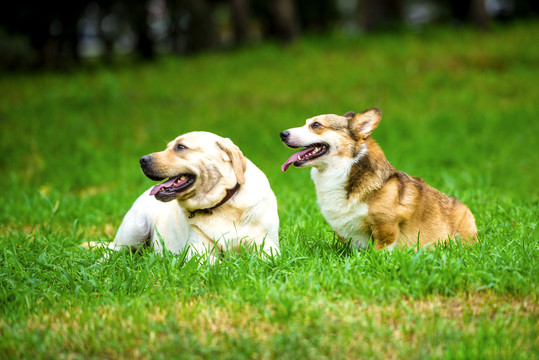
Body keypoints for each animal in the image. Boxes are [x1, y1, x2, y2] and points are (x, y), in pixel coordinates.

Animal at [104, 131, 280, 260]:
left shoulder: (268, 248)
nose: (142, 159)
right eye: (168, 147)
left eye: (181, 147)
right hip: (135, 229)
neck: (222, 205)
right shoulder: (200, 253)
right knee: (112, 251)